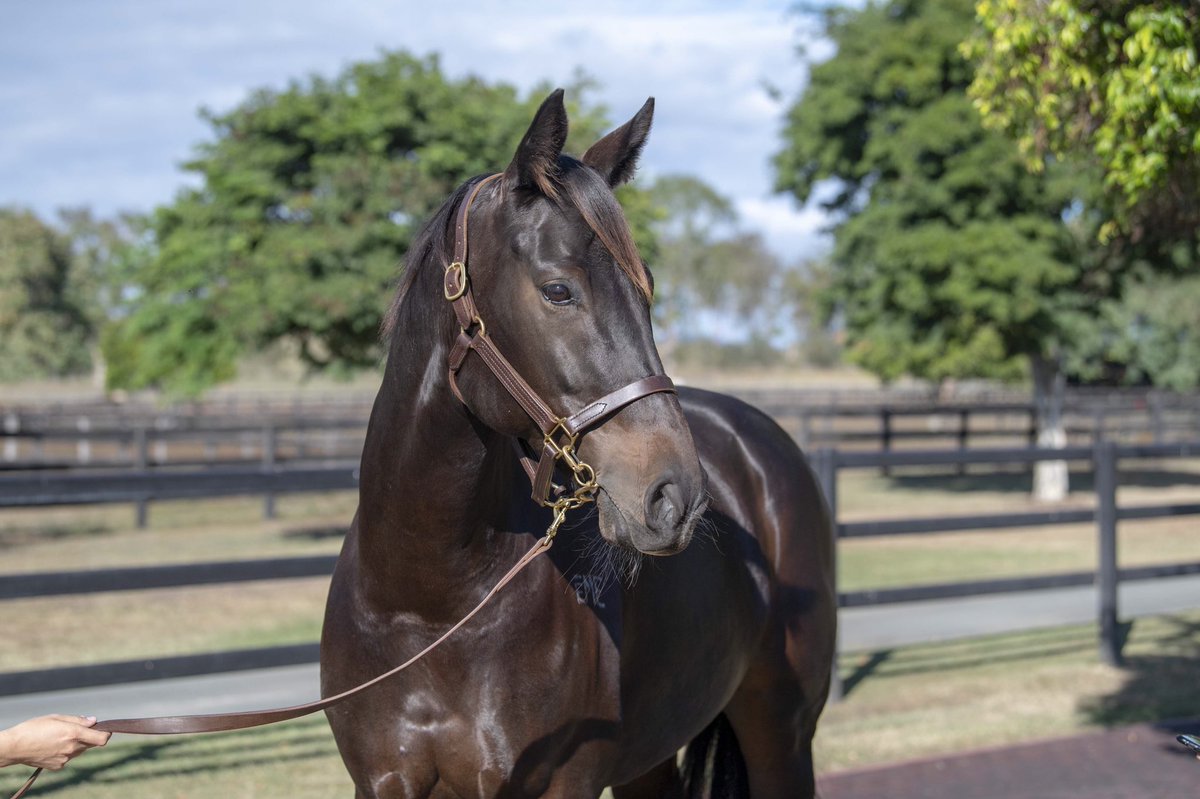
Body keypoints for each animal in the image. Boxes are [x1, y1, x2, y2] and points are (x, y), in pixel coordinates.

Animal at [320, 89, 836, 799]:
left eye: (648, 286)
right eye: (557, 289)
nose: (675, 497)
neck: (427, 606)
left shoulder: (562, 781)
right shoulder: (381, 783)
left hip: (781, 732)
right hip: (648, 758)